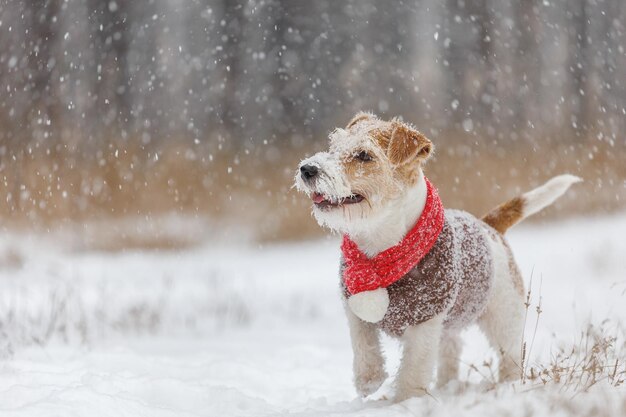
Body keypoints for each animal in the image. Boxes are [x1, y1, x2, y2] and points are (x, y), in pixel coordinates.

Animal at [294, 110, 576, 400]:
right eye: (334, 146)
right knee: (452, 347)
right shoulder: (354, 305)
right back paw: (446, 386)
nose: (307, 169)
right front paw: (368, 380)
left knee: (508, 352)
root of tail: (488, 226)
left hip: (503, 313)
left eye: (364, 155)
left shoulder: (425, 318)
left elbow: (414, 367)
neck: (382, 248)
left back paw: (508, 385)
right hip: (450, 325)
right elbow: (364, 344)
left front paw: (406, 400)